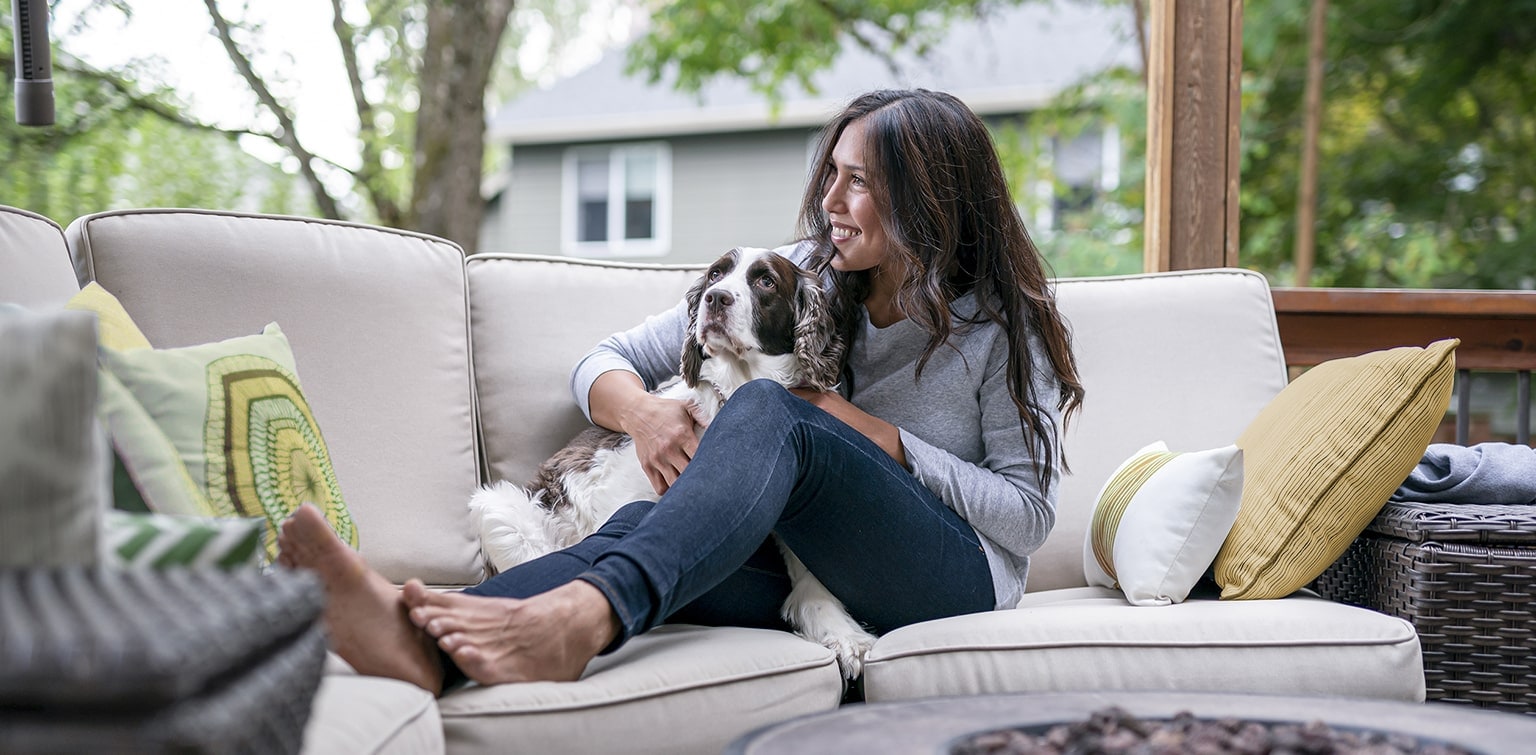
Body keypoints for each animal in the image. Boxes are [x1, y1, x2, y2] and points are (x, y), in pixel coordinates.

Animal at [466, 245, 878, 678]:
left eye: (766, 281)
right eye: (715, 275)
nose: (716, 299)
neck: (738, 388)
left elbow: (813, 580)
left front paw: (846, 636)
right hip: (500, 508)